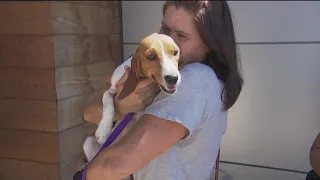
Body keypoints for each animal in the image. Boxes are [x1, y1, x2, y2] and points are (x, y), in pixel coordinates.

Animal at [82, 32, 182, 163]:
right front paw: (104, 130)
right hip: (88, 143)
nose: (173, 78)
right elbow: (108, 102)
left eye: (175, 52)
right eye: (151, 56)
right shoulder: (109, 88)